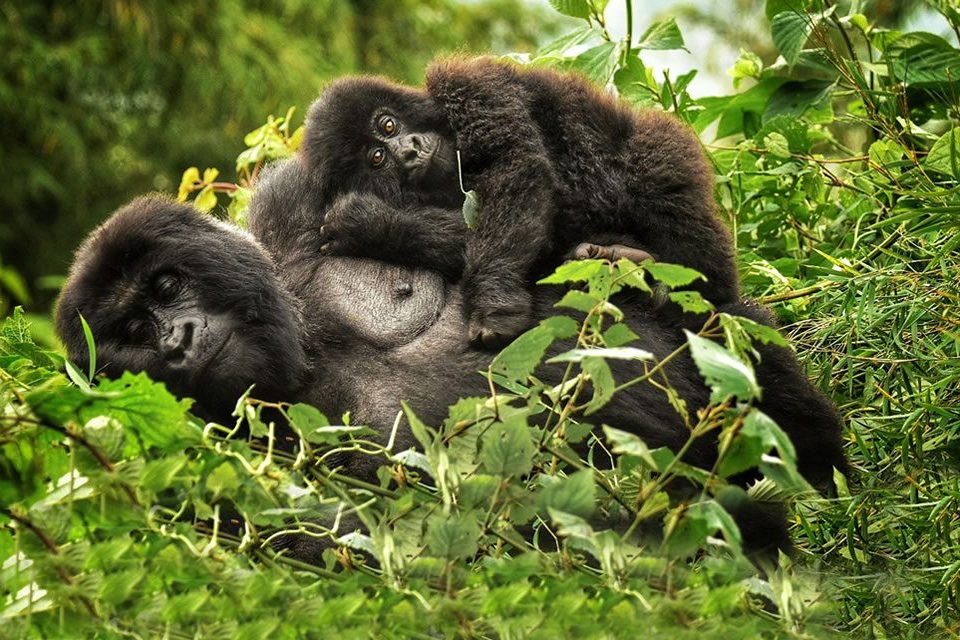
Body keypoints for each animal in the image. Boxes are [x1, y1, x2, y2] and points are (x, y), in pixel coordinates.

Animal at [297, 57, 739, 348]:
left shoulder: (467, 85)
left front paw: (493, 306)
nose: (409, 150)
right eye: (377, 158)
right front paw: (374, 227)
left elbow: (517, 165)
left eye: (388, 124)